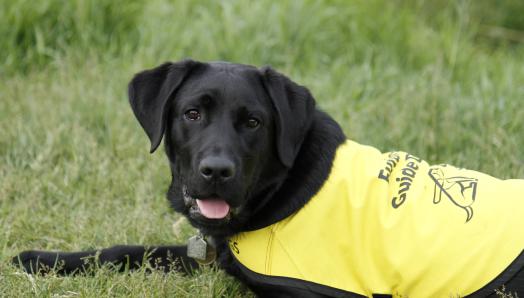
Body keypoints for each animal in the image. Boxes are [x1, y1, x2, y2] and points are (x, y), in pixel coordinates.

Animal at [12, 60, 524, 296]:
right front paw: (41, 259)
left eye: (253, 122)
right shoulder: (203, 253)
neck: (280, 192)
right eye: (192, 113)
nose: (216, 171)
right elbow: (128, 250)